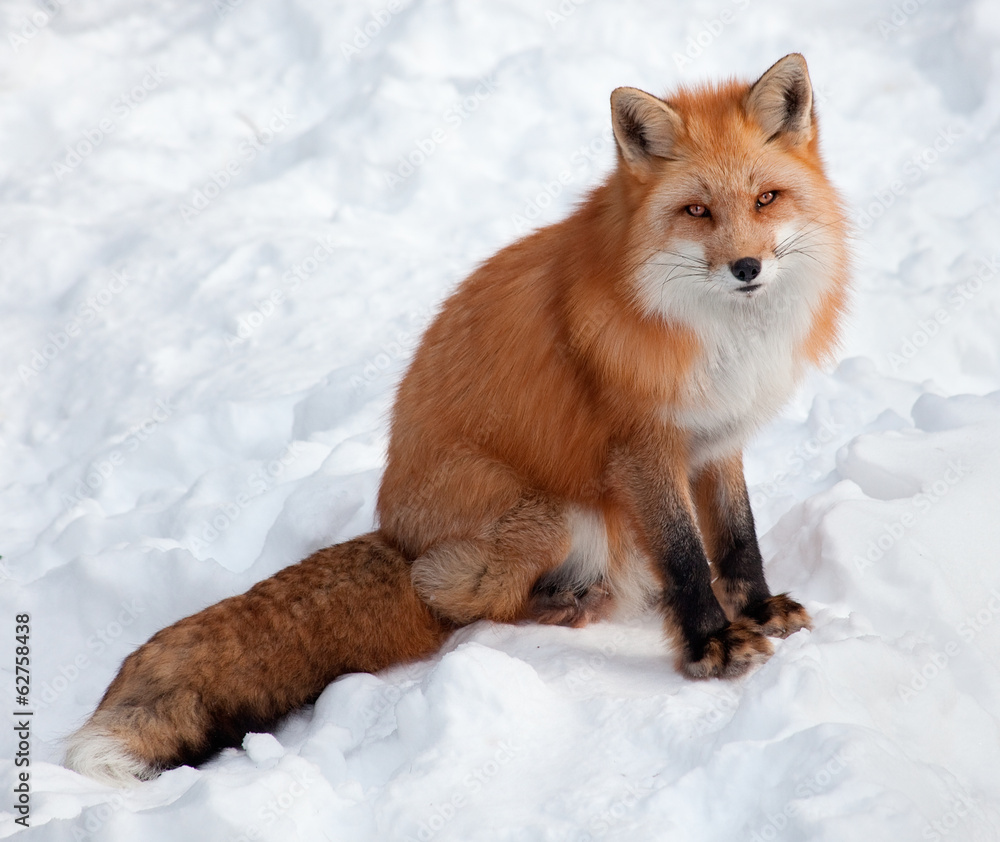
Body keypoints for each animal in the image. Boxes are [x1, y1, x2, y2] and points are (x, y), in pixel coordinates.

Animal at [65, 53, 849, 785]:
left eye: (766, 199)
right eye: (697, 212)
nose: (747, 267)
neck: (718, 337)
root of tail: (395, 533)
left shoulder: (717, 439)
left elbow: (737, 539)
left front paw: (757, 611)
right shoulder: (641, 448)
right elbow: (686, 557)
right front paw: (711, 646)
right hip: (550, 515)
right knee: (455, 598)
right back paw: (567, 603)